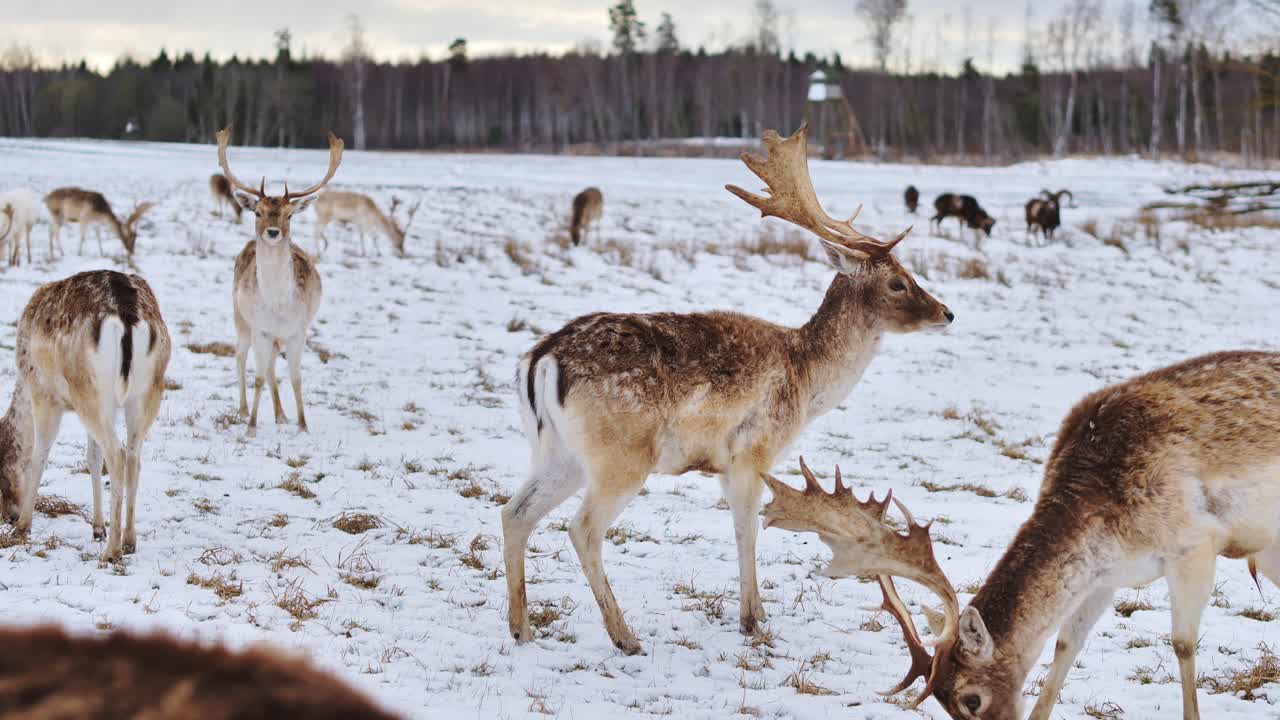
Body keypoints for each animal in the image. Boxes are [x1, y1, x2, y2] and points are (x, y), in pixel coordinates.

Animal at [0, 270, 171, 562]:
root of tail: (127, 315)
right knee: (133, 457)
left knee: (117, 454)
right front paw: (98, 528)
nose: (6, 516)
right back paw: (128, 540)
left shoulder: (43, 392)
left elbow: (39, 454)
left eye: (0, 466)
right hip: (147, 389)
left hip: (89, 390)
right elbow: (92, 457)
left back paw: (112, 552)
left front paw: (23, 527)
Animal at [216, 126, 341, 434]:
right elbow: (259, 376)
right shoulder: (261, 328)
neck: (279, 304)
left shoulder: (299, 331)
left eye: (290, 214)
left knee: (271, 364)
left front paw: (302, 425)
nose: (273, 232)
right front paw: (251, 427)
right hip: (241, 318)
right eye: (257, 211)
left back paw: (281, 415)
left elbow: (295, 378)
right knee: (241, 357)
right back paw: (243, 410)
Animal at [502, 124, 954, 655]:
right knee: (583, 528)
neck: (808, 381)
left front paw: (755, 613)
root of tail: (542, 359)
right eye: (898, 283)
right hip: (621, 454)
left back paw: (521, 628)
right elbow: (747, 530)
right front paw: (752, 619)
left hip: (557, 452)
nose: (947, 312)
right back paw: (625, 636)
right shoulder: (753, 452)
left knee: (514, 512)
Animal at [760, 350, 1280, 720]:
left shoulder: (1194, 544)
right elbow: (1066, 644)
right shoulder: (1106, 575)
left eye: (971, 700)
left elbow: (1183, 644)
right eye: (944, 705)